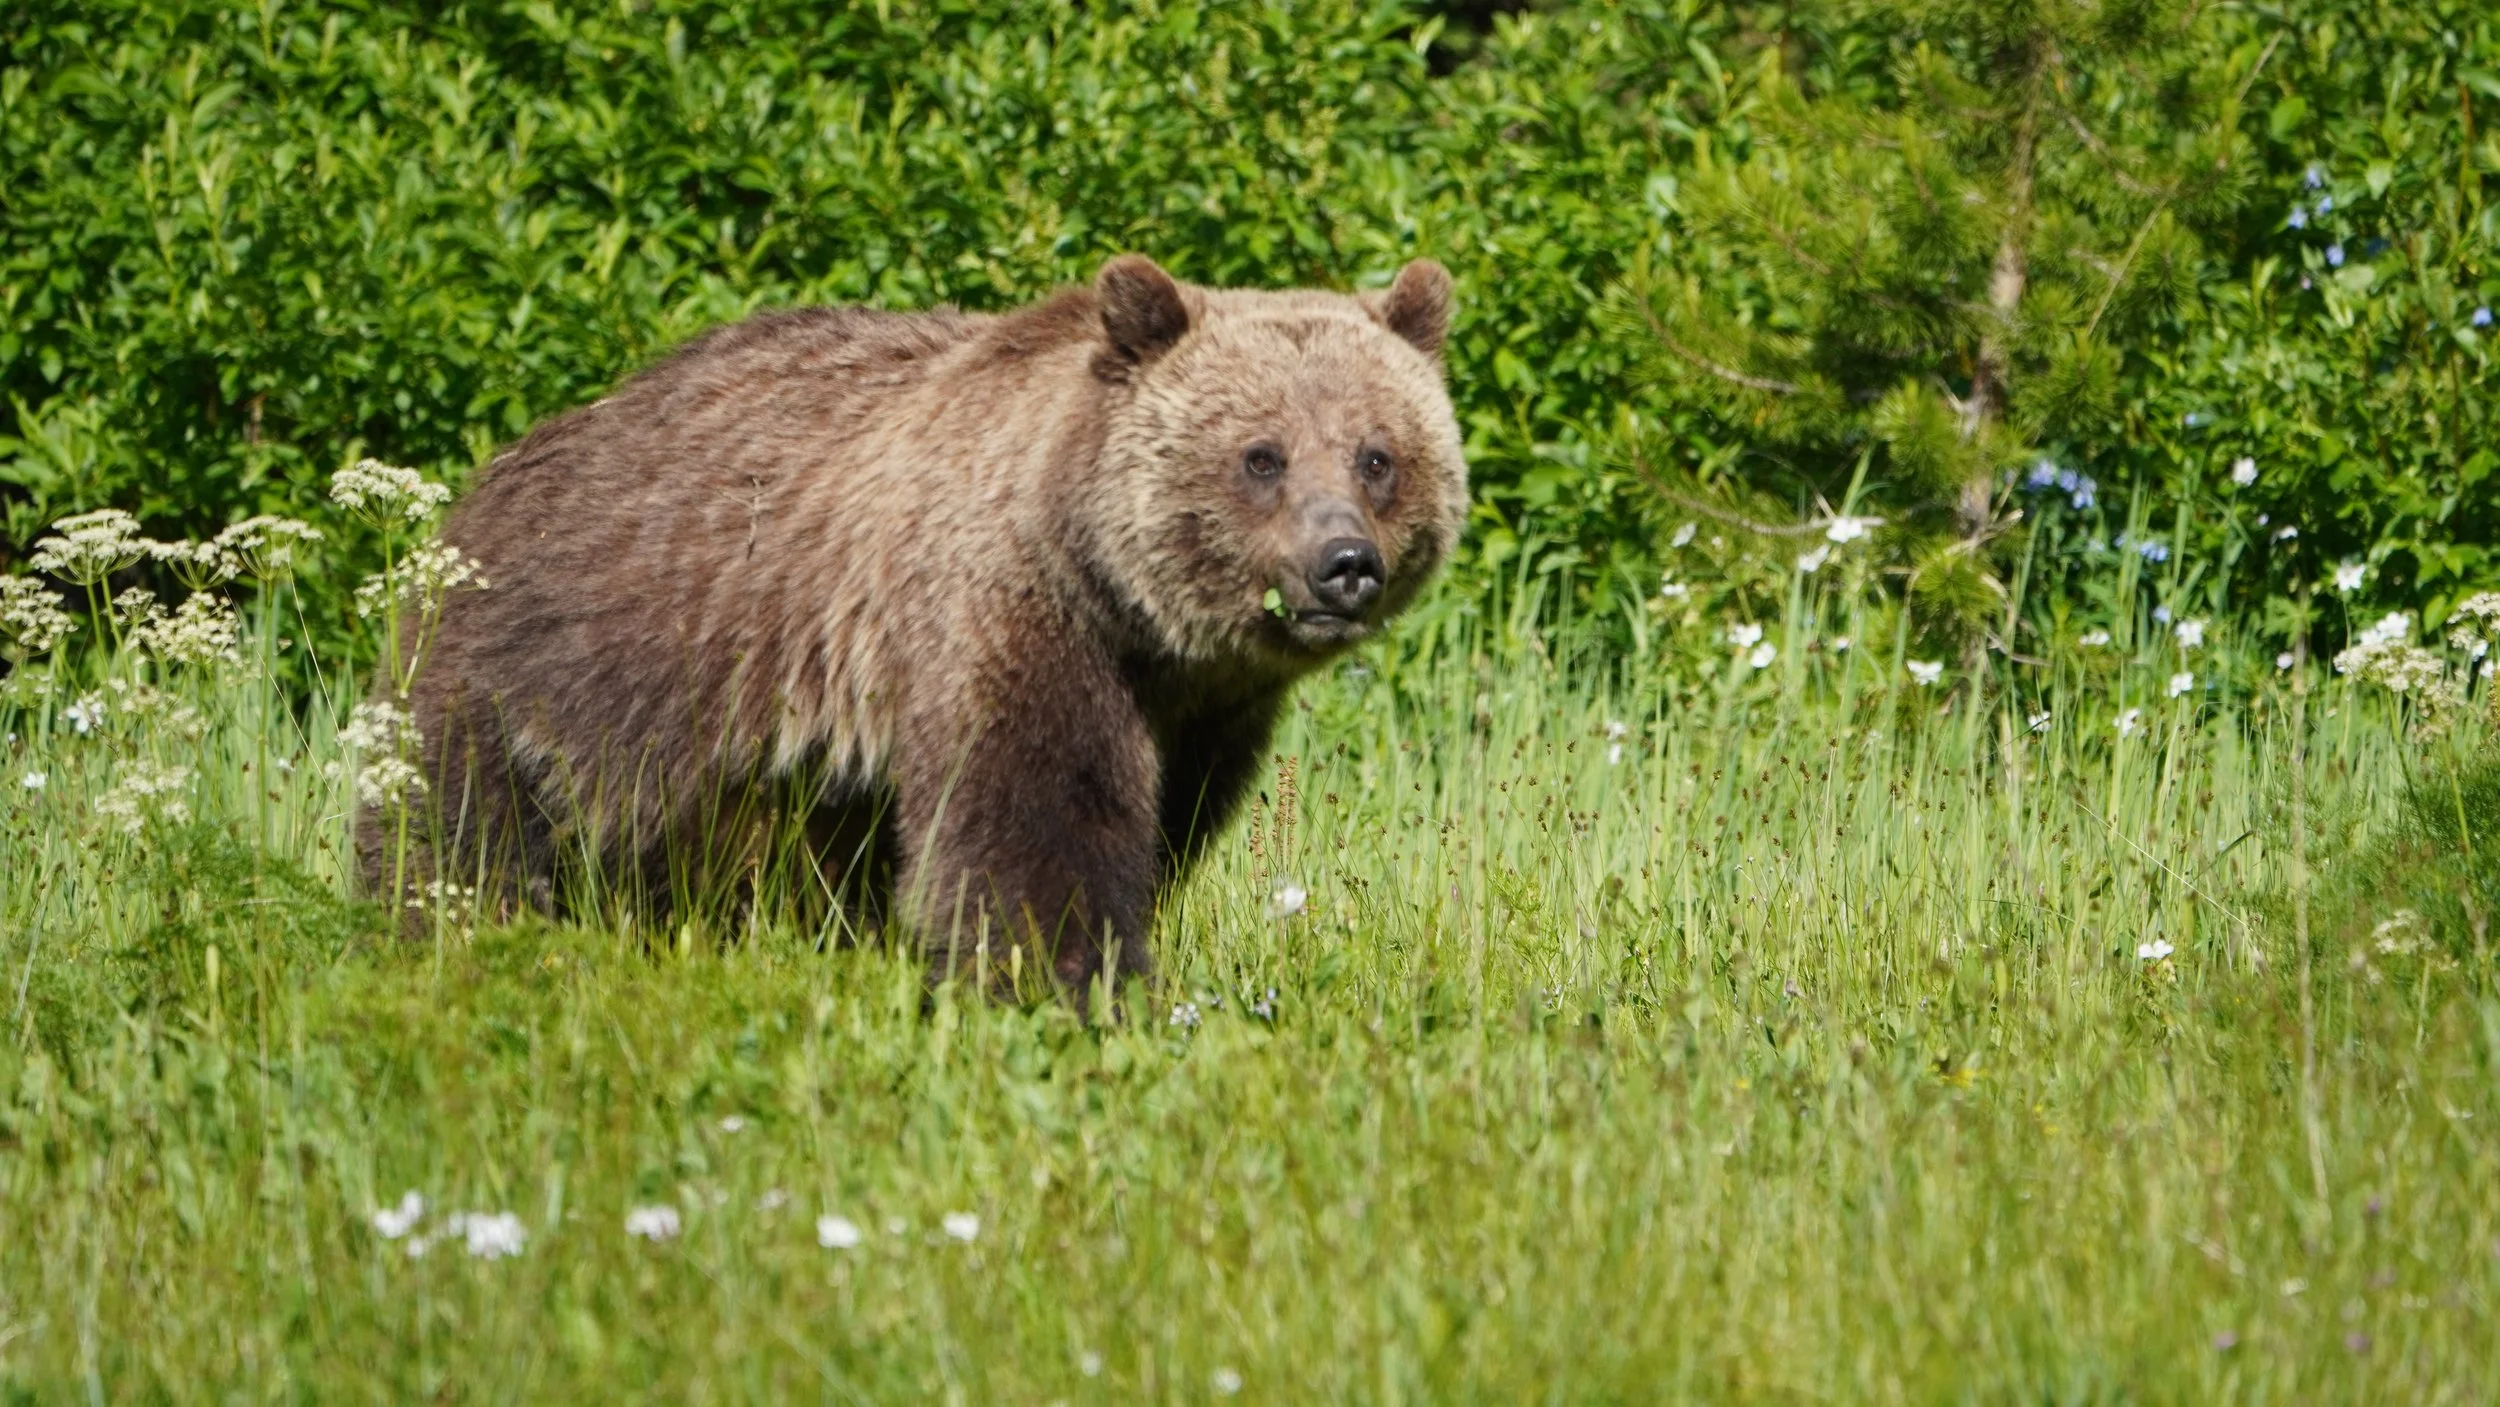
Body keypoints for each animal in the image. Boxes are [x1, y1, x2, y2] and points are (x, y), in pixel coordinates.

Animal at [376, 254, 1465, 994]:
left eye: (1377, 455)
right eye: (1261, 455)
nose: (1344, 566)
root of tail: (483, 480)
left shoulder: (1205, 711)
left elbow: (1159, 821)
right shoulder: (1005, 617)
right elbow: (1034, 826)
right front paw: (1068, 979)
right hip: (541, 664)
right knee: (455, 824)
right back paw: (442, 933)